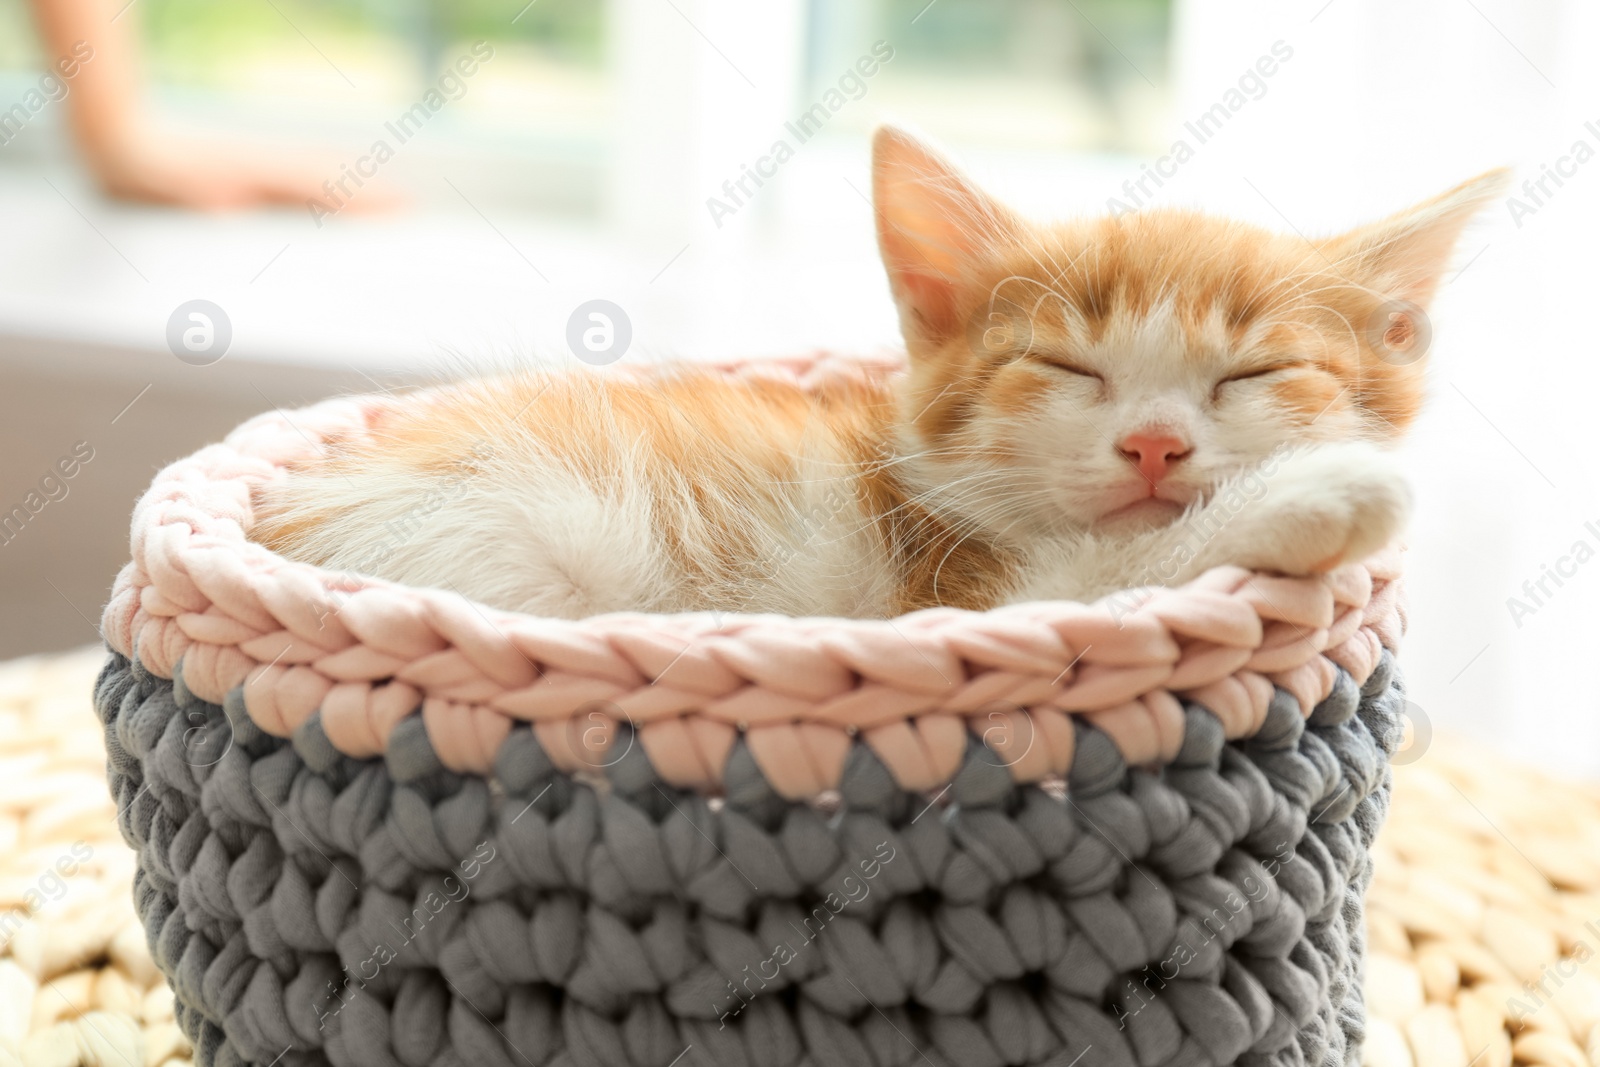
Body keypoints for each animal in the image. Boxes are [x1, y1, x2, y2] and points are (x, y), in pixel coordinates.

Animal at [256, 129, 1504, 620]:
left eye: (1254, 372)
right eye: (1062, 363)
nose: (1154, 445)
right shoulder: (953, 606)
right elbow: (1109, 572)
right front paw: (1321, 495)